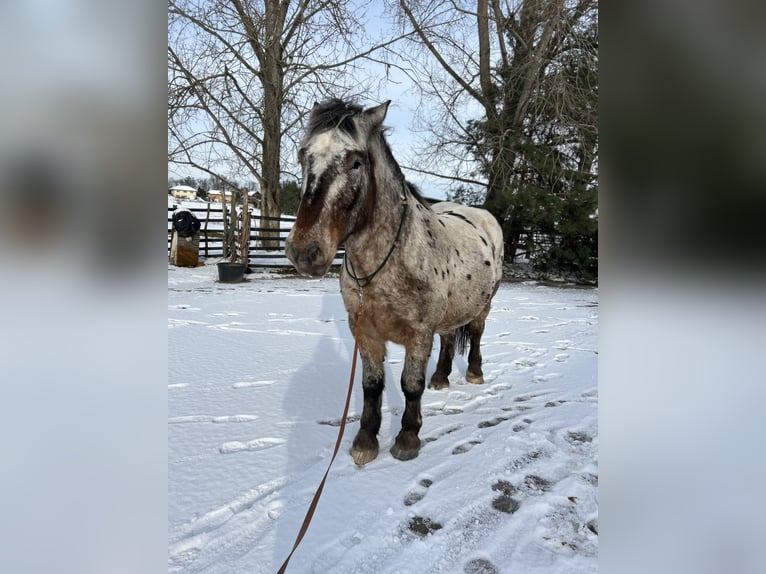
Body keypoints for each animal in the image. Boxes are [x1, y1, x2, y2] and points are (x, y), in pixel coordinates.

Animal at [284, 100, 508, 468]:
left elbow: (410, 384)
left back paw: (474, 373)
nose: (304, 251)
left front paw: (407, 438)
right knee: (449, 337)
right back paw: (441, 378)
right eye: (303, 156)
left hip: (483, 305)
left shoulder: (418, 334)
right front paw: (365, 441)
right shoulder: (365, 332)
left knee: (475, 333)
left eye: (356, 162)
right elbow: (372, 386)